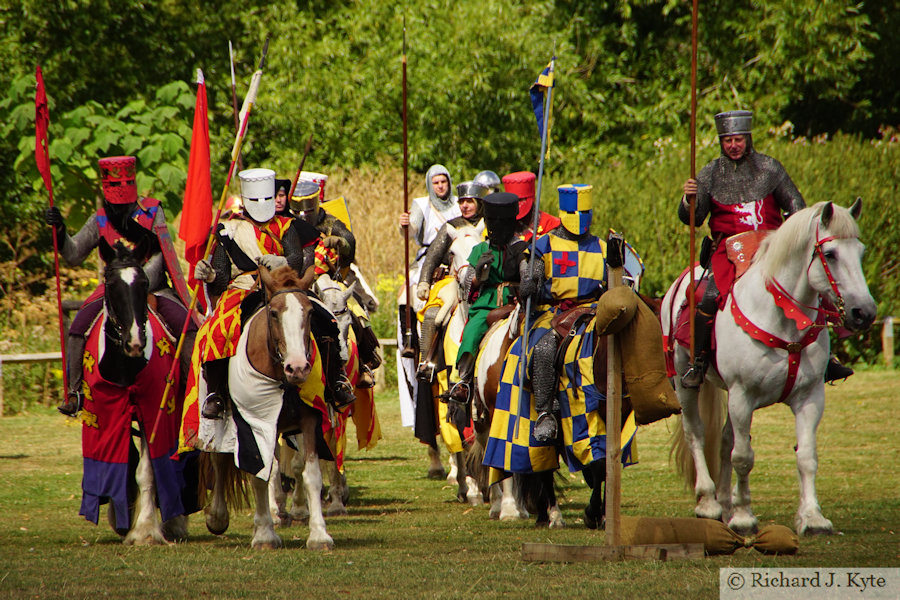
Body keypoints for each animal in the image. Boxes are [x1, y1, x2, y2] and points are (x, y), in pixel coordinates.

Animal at [664, 200, 876, 536]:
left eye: (861, 252)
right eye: (830, 254)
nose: (864, 313)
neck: (783, 317)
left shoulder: (809, 397)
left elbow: (806, 456)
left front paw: (812, 518)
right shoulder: (742, 396)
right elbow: (743, 457)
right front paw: (744, 517)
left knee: (724, 439)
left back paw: (725, 503)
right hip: (686, 383)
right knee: (696, 432)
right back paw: (709, 502)